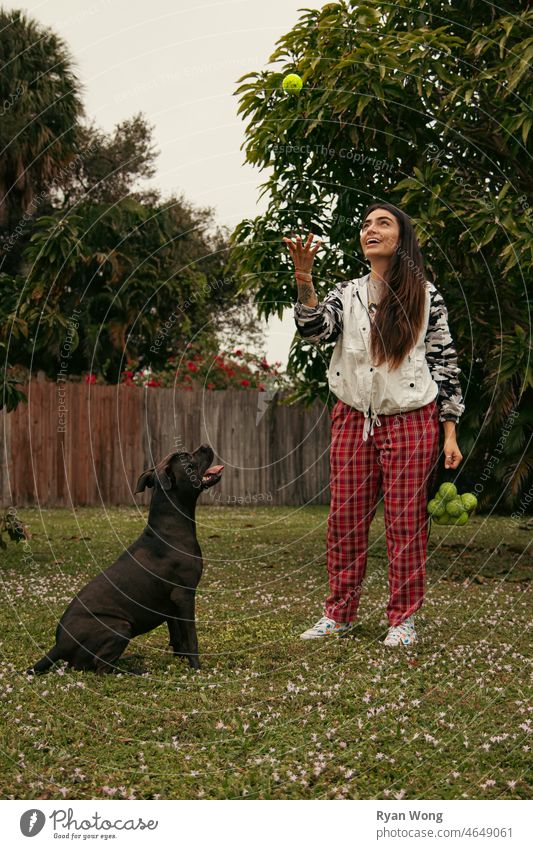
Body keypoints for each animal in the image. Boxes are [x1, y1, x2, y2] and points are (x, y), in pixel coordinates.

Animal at [27, 444, 222, 676]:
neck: (170, 527)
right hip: (121, 627)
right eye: (186, 458)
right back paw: (136, 671)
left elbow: (177, 637)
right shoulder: (184, 596)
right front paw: (196, 668)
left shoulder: (171, 604)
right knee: (101, 667)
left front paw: (181, 660)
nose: (206, 446)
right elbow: (191, 637)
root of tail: (59, 646)